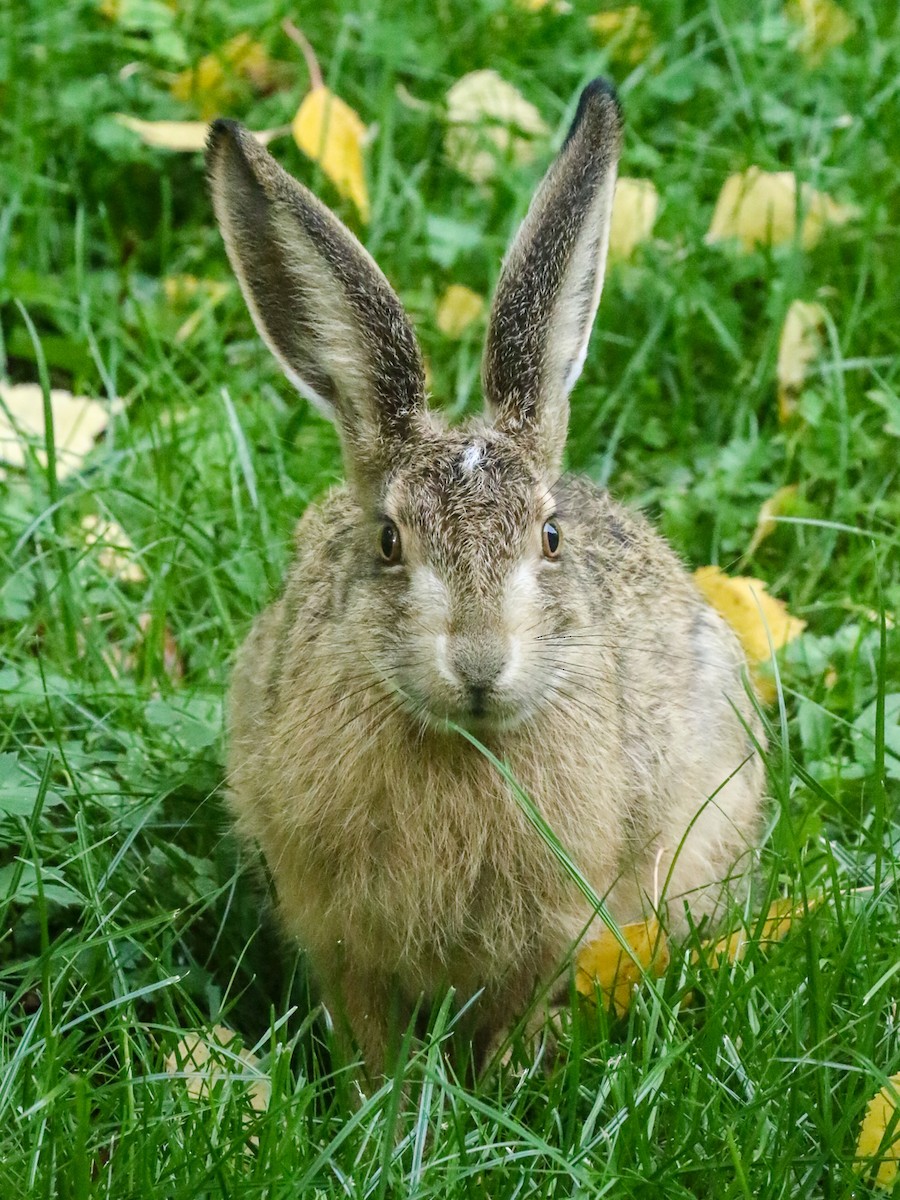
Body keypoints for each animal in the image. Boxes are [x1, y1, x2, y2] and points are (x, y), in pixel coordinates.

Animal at [207, 78, 765, 1080]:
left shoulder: (559, 926)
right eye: (390, 541)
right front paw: (381, 1106)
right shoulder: (337, 935)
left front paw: (490, 1091)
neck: (463, 746)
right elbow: (369, 1035)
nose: (477, 664)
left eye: (549, 536)